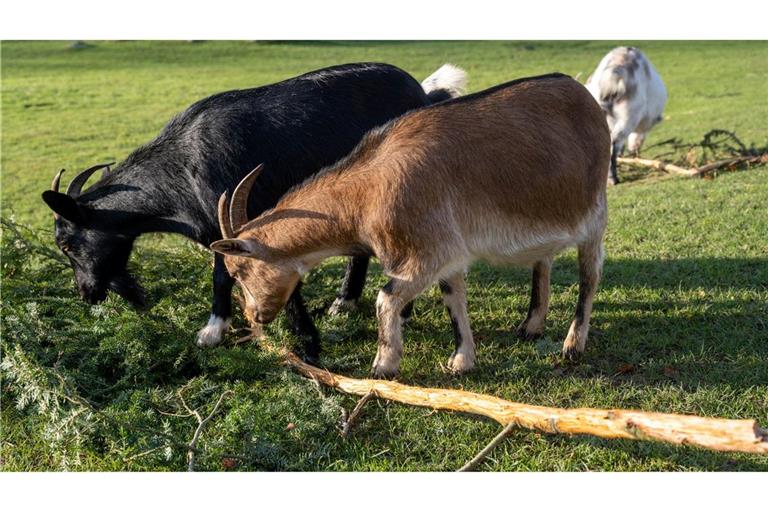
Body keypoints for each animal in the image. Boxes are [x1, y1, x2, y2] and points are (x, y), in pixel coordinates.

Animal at [41, 62, 468, 362]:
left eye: (67, 245)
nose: (86, 293)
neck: (182, 169)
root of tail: (423, 93)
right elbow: (223, 276)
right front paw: (219, 329)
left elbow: (243, 275)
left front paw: (303, 343)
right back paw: (345, 303)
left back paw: (399, 310)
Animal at [211, 73, 611, 378]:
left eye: (240, 269)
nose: (255, 315)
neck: (366, 192)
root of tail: (585, 97)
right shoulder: (448, 252)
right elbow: (453, 299)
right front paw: (462, 360)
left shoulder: (426, 251)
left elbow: (385, 298)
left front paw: (383, 366)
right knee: (543, 263)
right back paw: (531, 326)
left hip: (594, 215)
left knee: (589, 277)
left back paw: (573, 345)